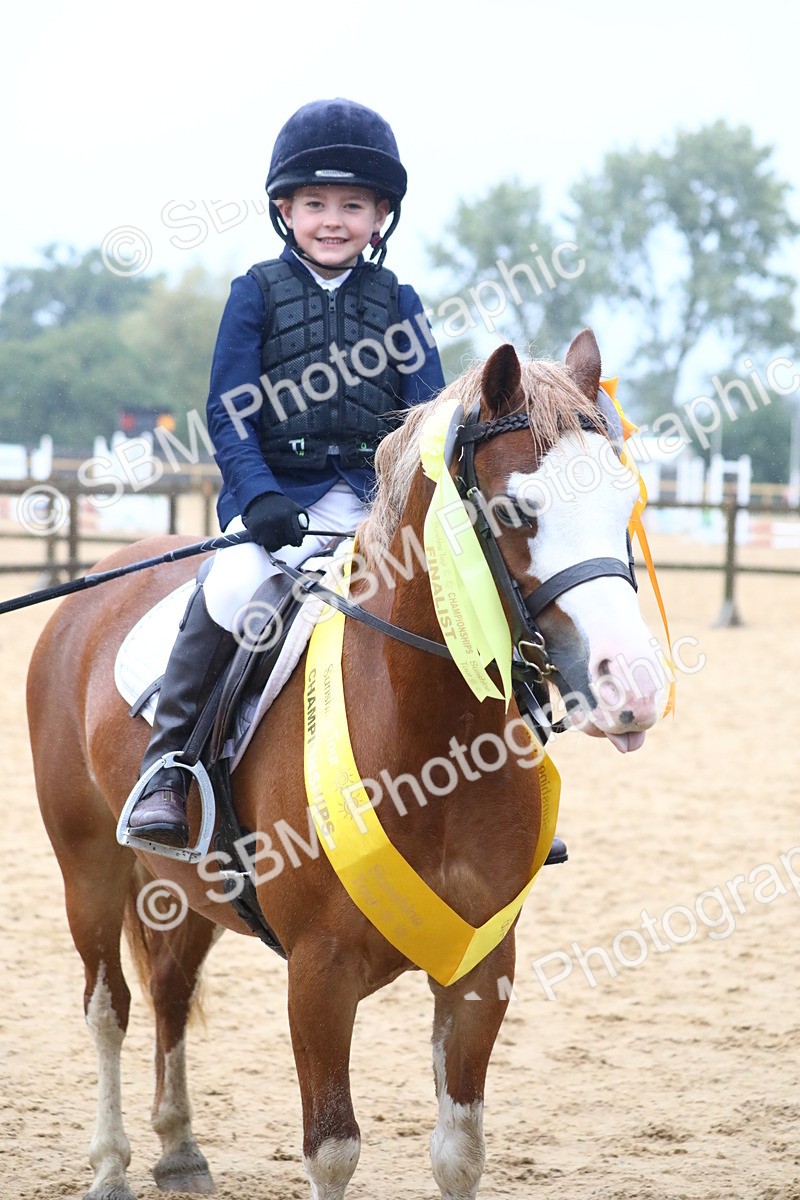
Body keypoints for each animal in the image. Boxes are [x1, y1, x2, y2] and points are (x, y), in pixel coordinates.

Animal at [27, 332, 665, 1200]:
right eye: (514, 512)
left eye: (624, 502)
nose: (632, 687)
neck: (433, 745)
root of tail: (91, 594)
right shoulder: (318, 977)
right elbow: (332, 1149)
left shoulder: (481, 969)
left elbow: (459, 1153)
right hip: (88, 866)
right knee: (107, 1005)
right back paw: (110, 1164)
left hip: (186, 889)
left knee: (169, 991)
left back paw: (180, 1150)